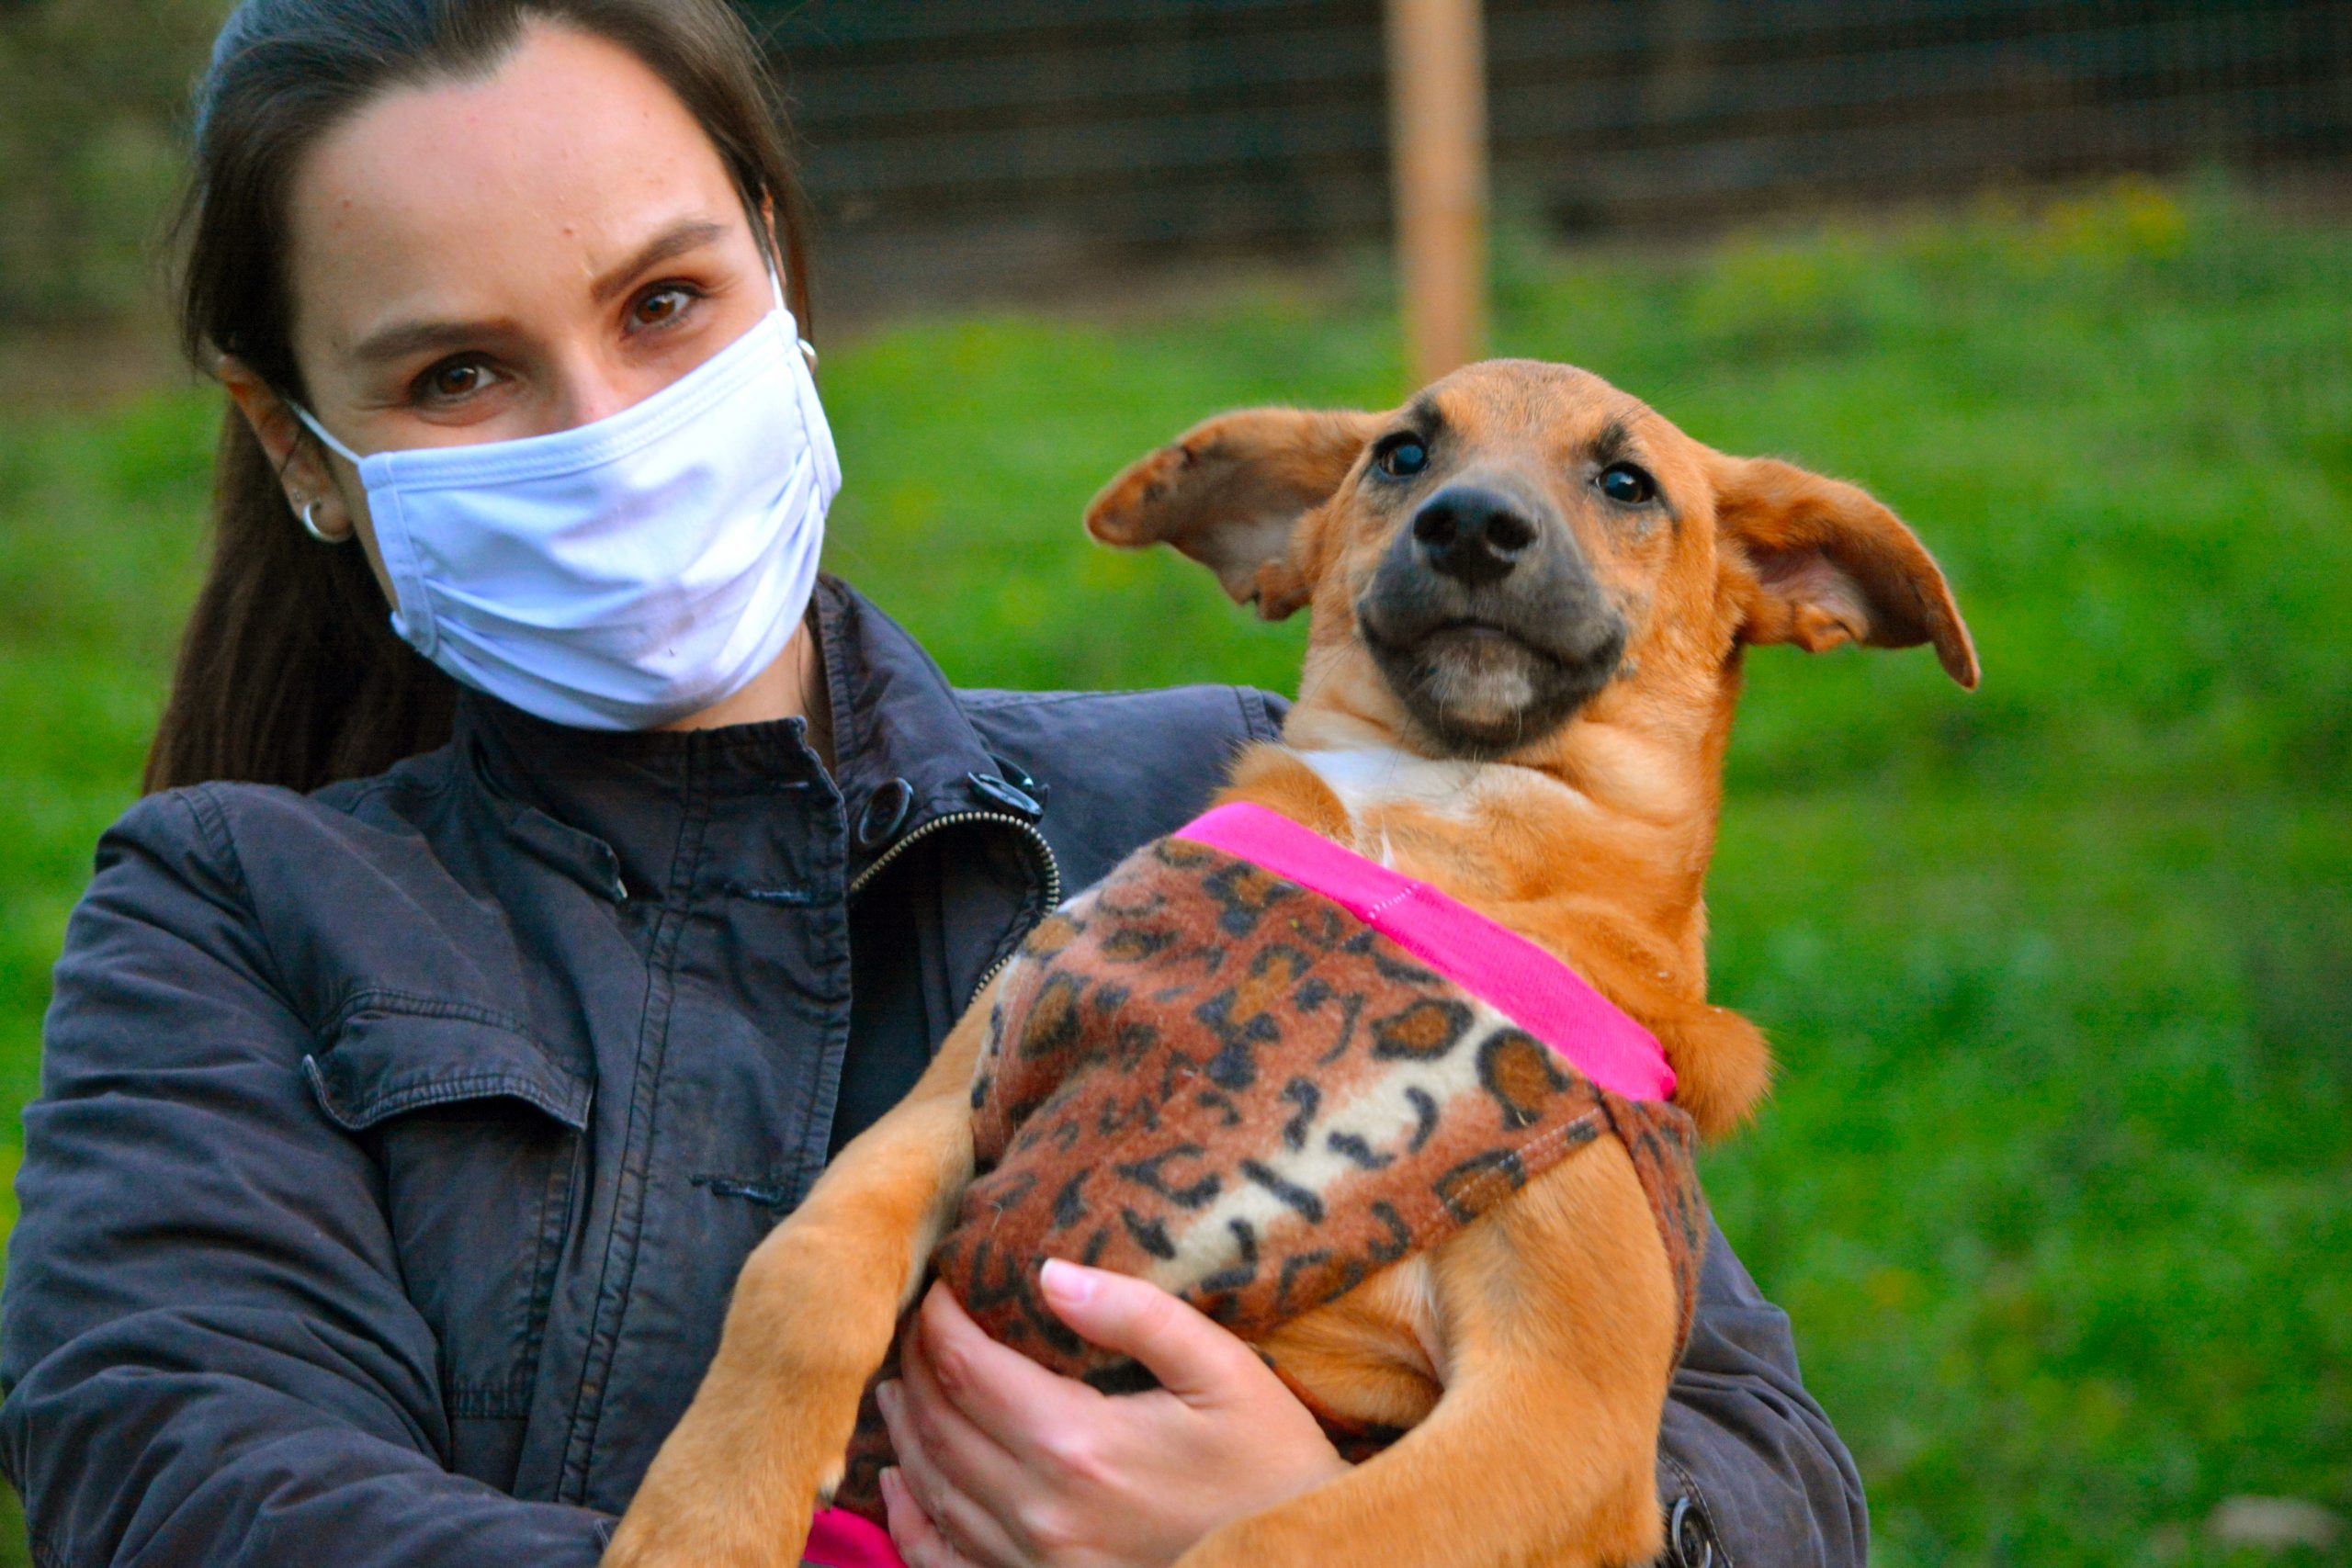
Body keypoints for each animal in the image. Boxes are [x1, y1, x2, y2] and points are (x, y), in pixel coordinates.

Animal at [607, 358, 1977, 1568]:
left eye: (1627, 481)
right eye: (1403, 454)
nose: (1469, 525)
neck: (1428, 825)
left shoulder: (1567, 1412)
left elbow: (1272, 1533)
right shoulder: (956, 1095)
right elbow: (799, 1274)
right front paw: (701, 1524)